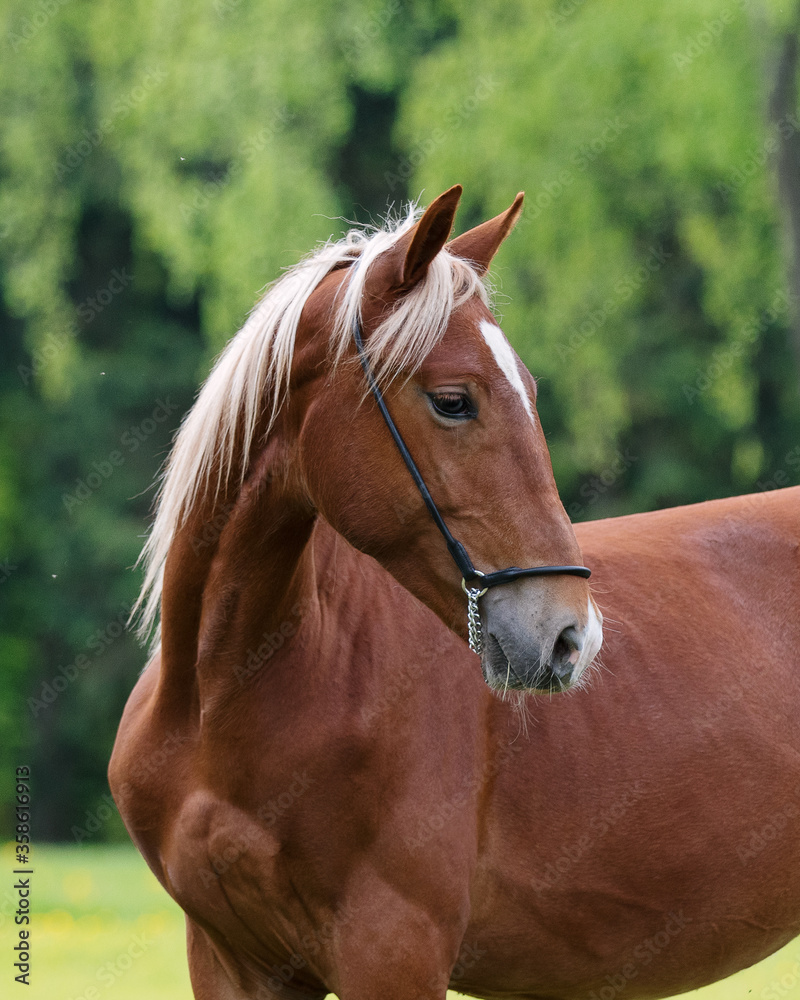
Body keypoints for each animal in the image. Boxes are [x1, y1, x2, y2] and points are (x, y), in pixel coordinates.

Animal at [110, 185, 800, 1000]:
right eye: (452, 401)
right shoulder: (232, 961)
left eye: (528, 392)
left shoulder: (392, 950)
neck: (229, 699)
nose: (570, 637)